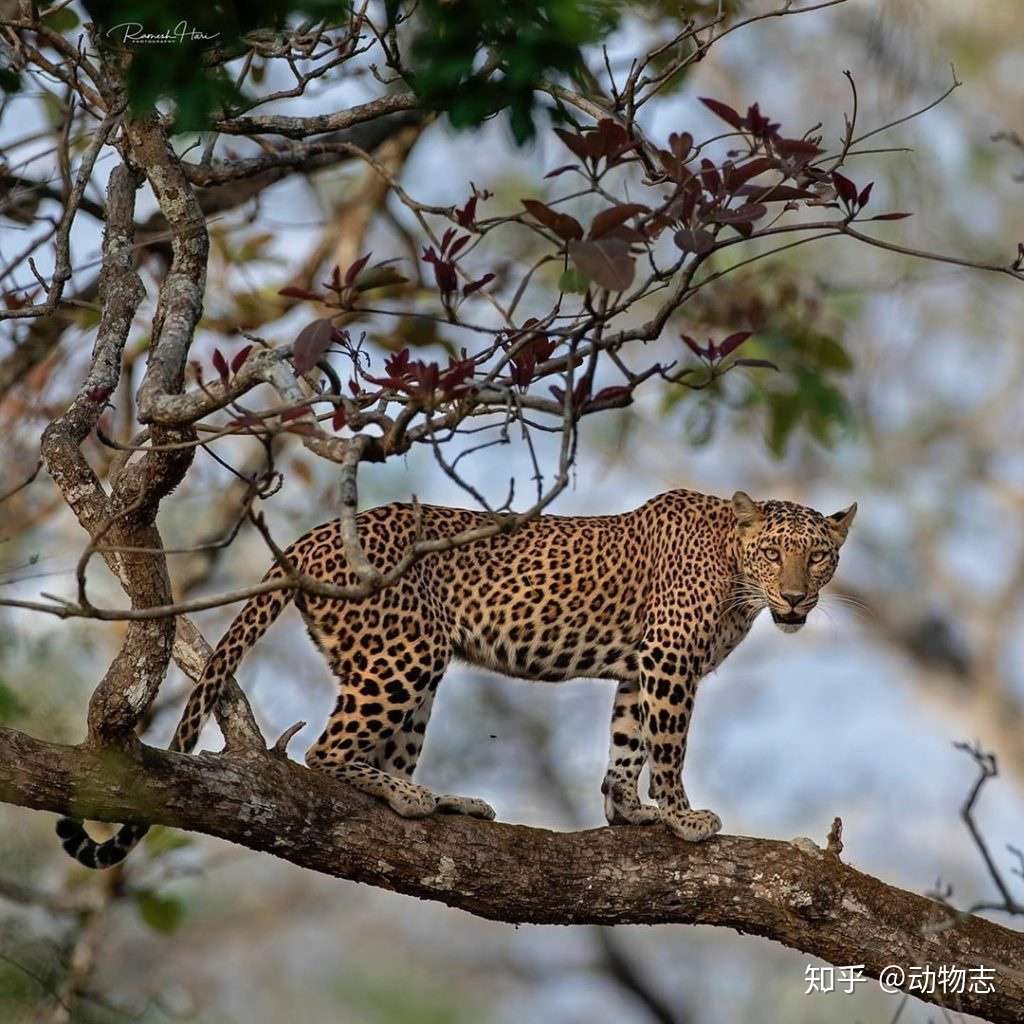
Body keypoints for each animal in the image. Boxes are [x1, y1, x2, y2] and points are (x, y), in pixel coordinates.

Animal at [56, 485, 856, 864]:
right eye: (775, 552)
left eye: (818, 555)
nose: (796, 598)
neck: (737, 578)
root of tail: (308, 542)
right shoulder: (667, 660)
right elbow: (668, 746)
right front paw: (684, 815)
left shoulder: (641, 667)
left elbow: (627, 743)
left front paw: (629, 811)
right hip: (404, 656)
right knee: (325, 750)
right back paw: (410, 797)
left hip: (410, 671)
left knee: (375, 749)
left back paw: (441, 800)